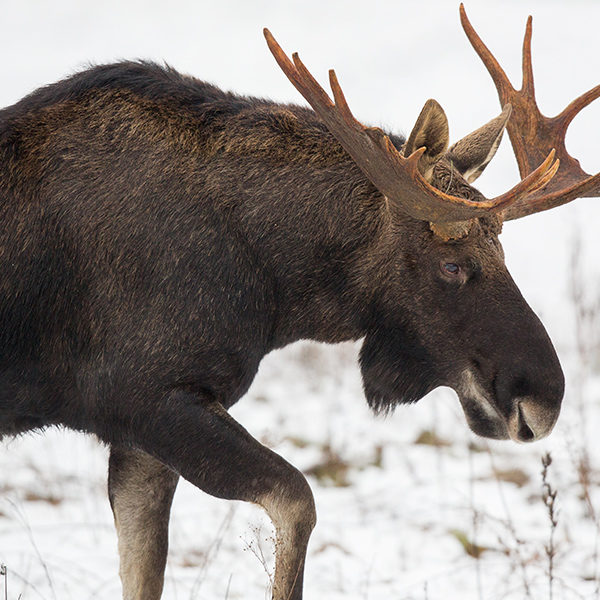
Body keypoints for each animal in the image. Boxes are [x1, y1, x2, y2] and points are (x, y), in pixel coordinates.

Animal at [1, 4, 600, 600]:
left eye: (503, 248)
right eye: (452, 264)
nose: (543, 399)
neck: (277, 289)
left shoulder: (138, 437)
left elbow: (145, 573)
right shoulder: (144, 397)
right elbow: (298, 502)